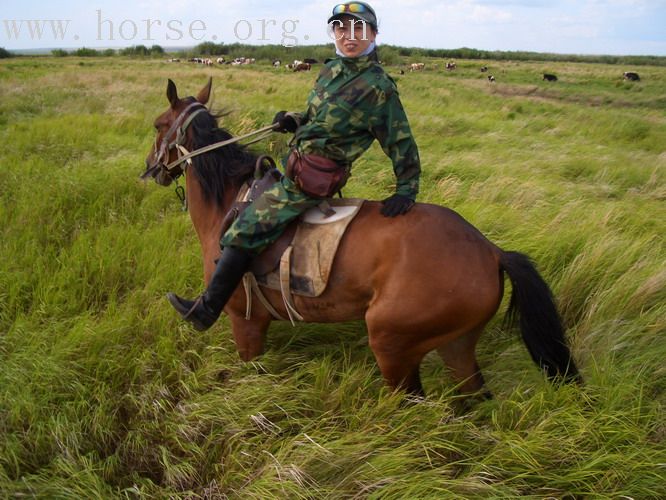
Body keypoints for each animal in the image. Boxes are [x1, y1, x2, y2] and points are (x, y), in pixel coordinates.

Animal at [143, 78, 580, 396]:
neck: (230, 200)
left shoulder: (245, 321)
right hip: (456, 345)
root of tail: (491, 251)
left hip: (392, 345)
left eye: (158, 126)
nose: (150, 168)